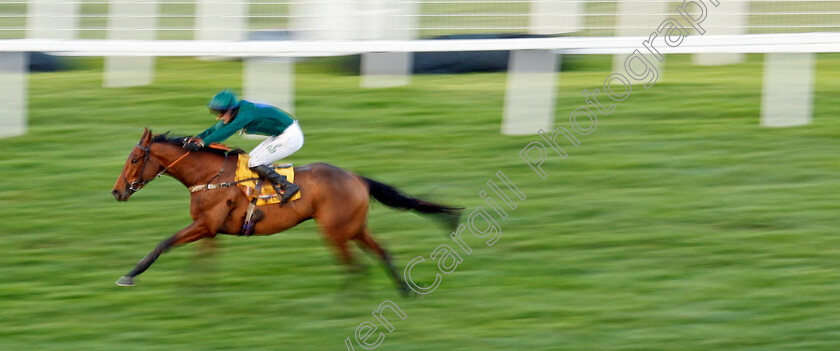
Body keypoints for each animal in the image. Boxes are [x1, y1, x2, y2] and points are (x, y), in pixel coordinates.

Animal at [109, 128, 462, 296]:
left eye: (135, 159)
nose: (117, 191)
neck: (209, 176)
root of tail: (357, 177)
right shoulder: (209, 229)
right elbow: (204, 261)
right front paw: (197, 291)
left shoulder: (205, 225)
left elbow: (163, 244)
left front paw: (129, 275)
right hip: (354, 227)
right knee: (380, 253)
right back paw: (405, 291)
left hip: (335, 231)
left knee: (355, 266)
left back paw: (345, 306)